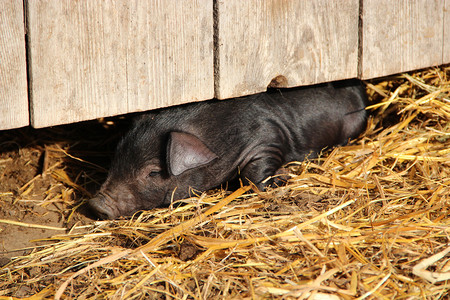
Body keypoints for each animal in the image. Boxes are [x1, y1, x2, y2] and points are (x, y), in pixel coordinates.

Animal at [89, 79, 370, 219]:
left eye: (153, 172)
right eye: (117, 158)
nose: (97, 205)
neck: (220, 135)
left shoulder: (267, 140)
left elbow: (254, 176)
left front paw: (282, 177)